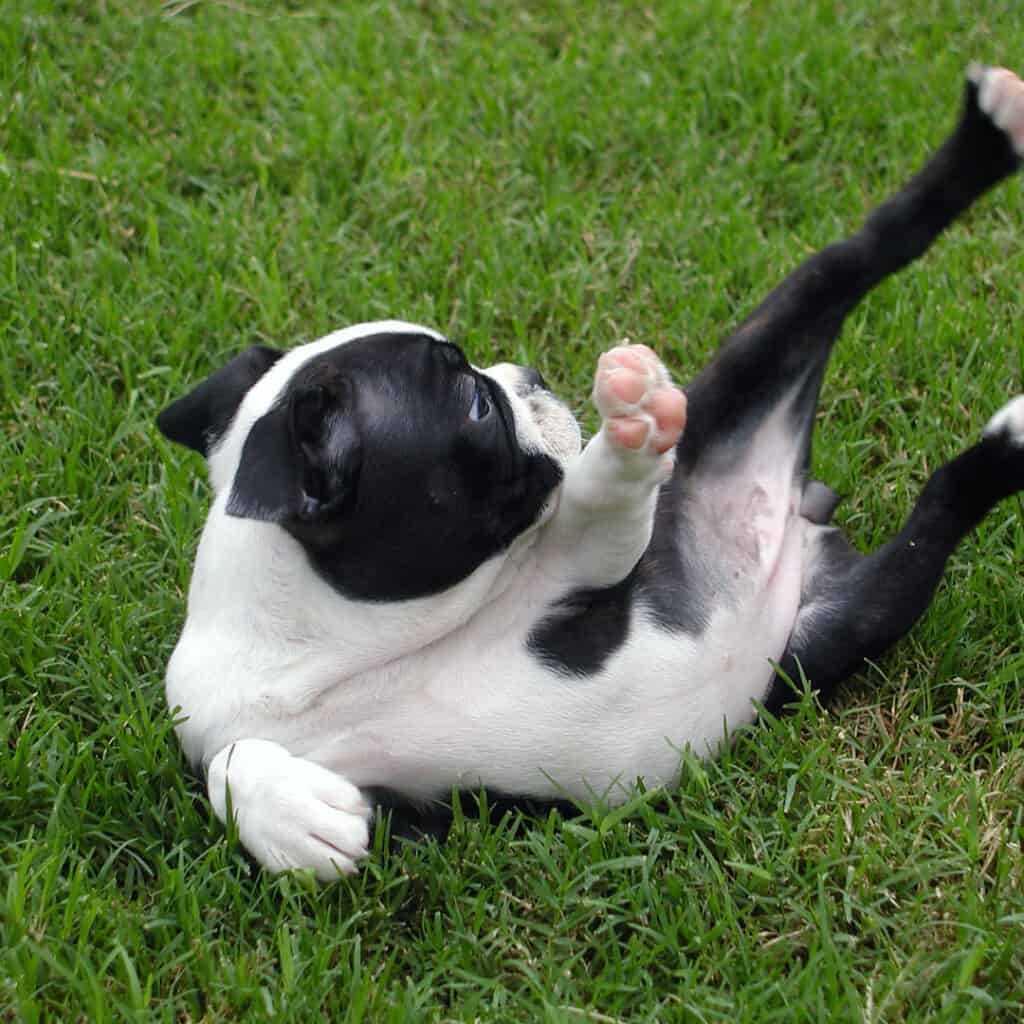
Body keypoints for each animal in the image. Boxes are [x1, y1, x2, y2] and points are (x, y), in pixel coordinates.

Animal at [155, 66, 1024, 880]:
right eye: (477, 404)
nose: (531, 376)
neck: (324, 652)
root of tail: (795, 512)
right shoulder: (405, 815)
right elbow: (228, 766)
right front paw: (293, 820)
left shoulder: (578, 563)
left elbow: (595, 502)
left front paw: (629, 426)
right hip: (848, 621)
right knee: (942, 495)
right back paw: (1010, 432)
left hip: (758, 359)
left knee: (871, 245)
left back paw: (988, 134)